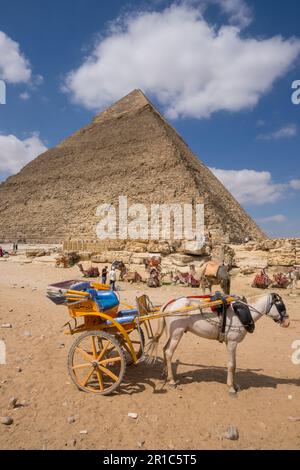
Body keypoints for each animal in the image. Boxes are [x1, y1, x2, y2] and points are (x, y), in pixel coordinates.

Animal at [146, 292, 290, 394]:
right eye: (281, 305)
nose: (287, 322)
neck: (244, 311)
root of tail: (170, 303)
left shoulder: (232, 343)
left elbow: (234, 365)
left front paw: (235, 385)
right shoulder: (232, 342)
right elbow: (232, 365)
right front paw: (231, 387)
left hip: (171, 333)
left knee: (164, 349)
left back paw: (165, 373)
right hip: (177, 333)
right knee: (169, 352)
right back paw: (171, 380)